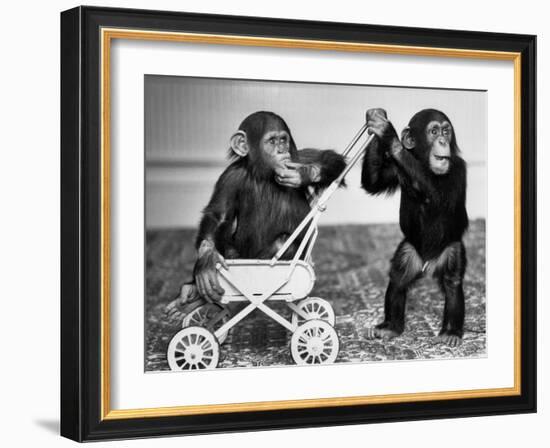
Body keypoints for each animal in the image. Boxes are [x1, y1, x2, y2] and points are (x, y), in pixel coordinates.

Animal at [179, 110, 348, 302]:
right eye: (272, 141)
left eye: (283, 140)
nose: (281, 150)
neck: (264, 173)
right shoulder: (229, 178)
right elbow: (218, 215)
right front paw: (207, 258)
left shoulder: (299, 157)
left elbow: (331, 160)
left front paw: (302, 173)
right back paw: (192, 287)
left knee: (283, 244)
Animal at [362, 107, 470, 346]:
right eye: (433, 131)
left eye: (446, 131)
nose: (442, 140)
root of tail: (429, 264)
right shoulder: (394, 170)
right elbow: (373, 183)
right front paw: (377, 119)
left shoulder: (457, 170)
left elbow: (437, 196)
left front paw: (389, 136)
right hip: (409, 251)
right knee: (398, 279)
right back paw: (390, 327)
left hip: (450, 249)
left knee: (452, 282)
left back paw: (451, 332)